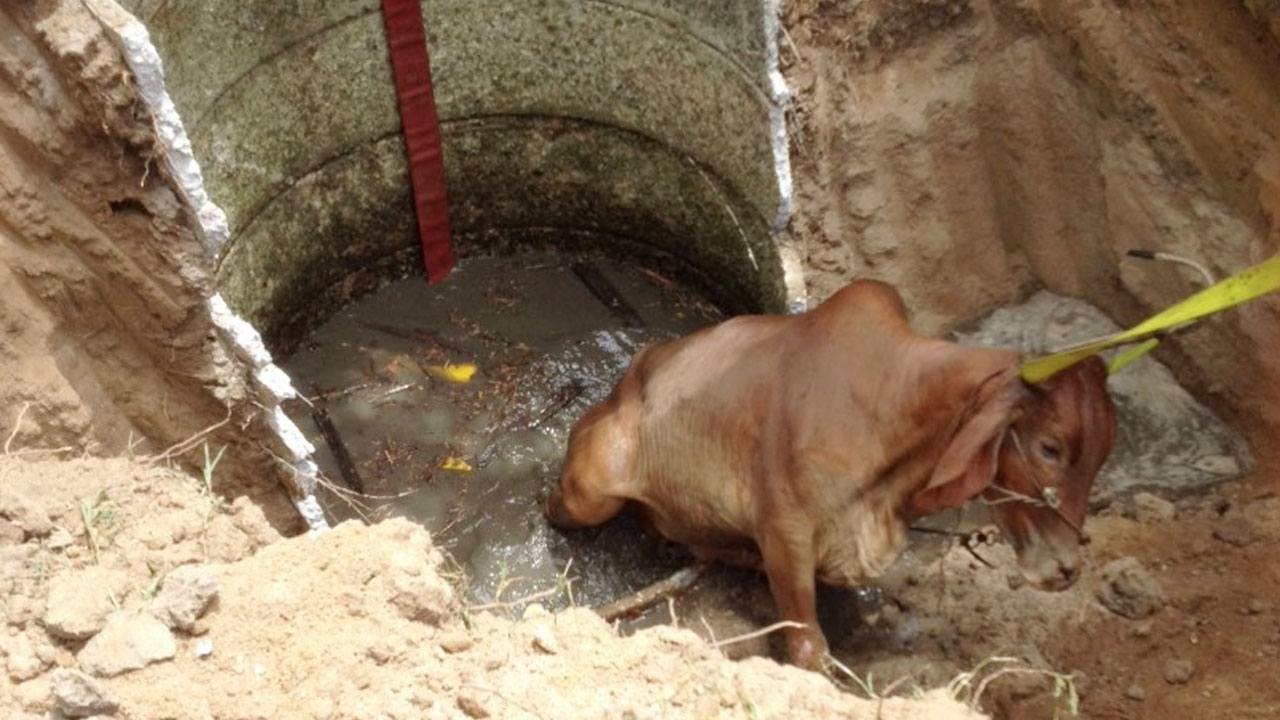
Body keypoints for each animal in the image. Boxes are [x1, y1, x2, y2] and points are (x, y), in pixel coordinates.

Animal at [545, 279, 1117, 670]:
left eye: (1103, 455)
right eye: (1050, 448)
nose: (1068, 568)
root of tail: (635, 369)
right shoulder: (786, 532)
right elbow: (807, 646)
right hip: (587, 491)